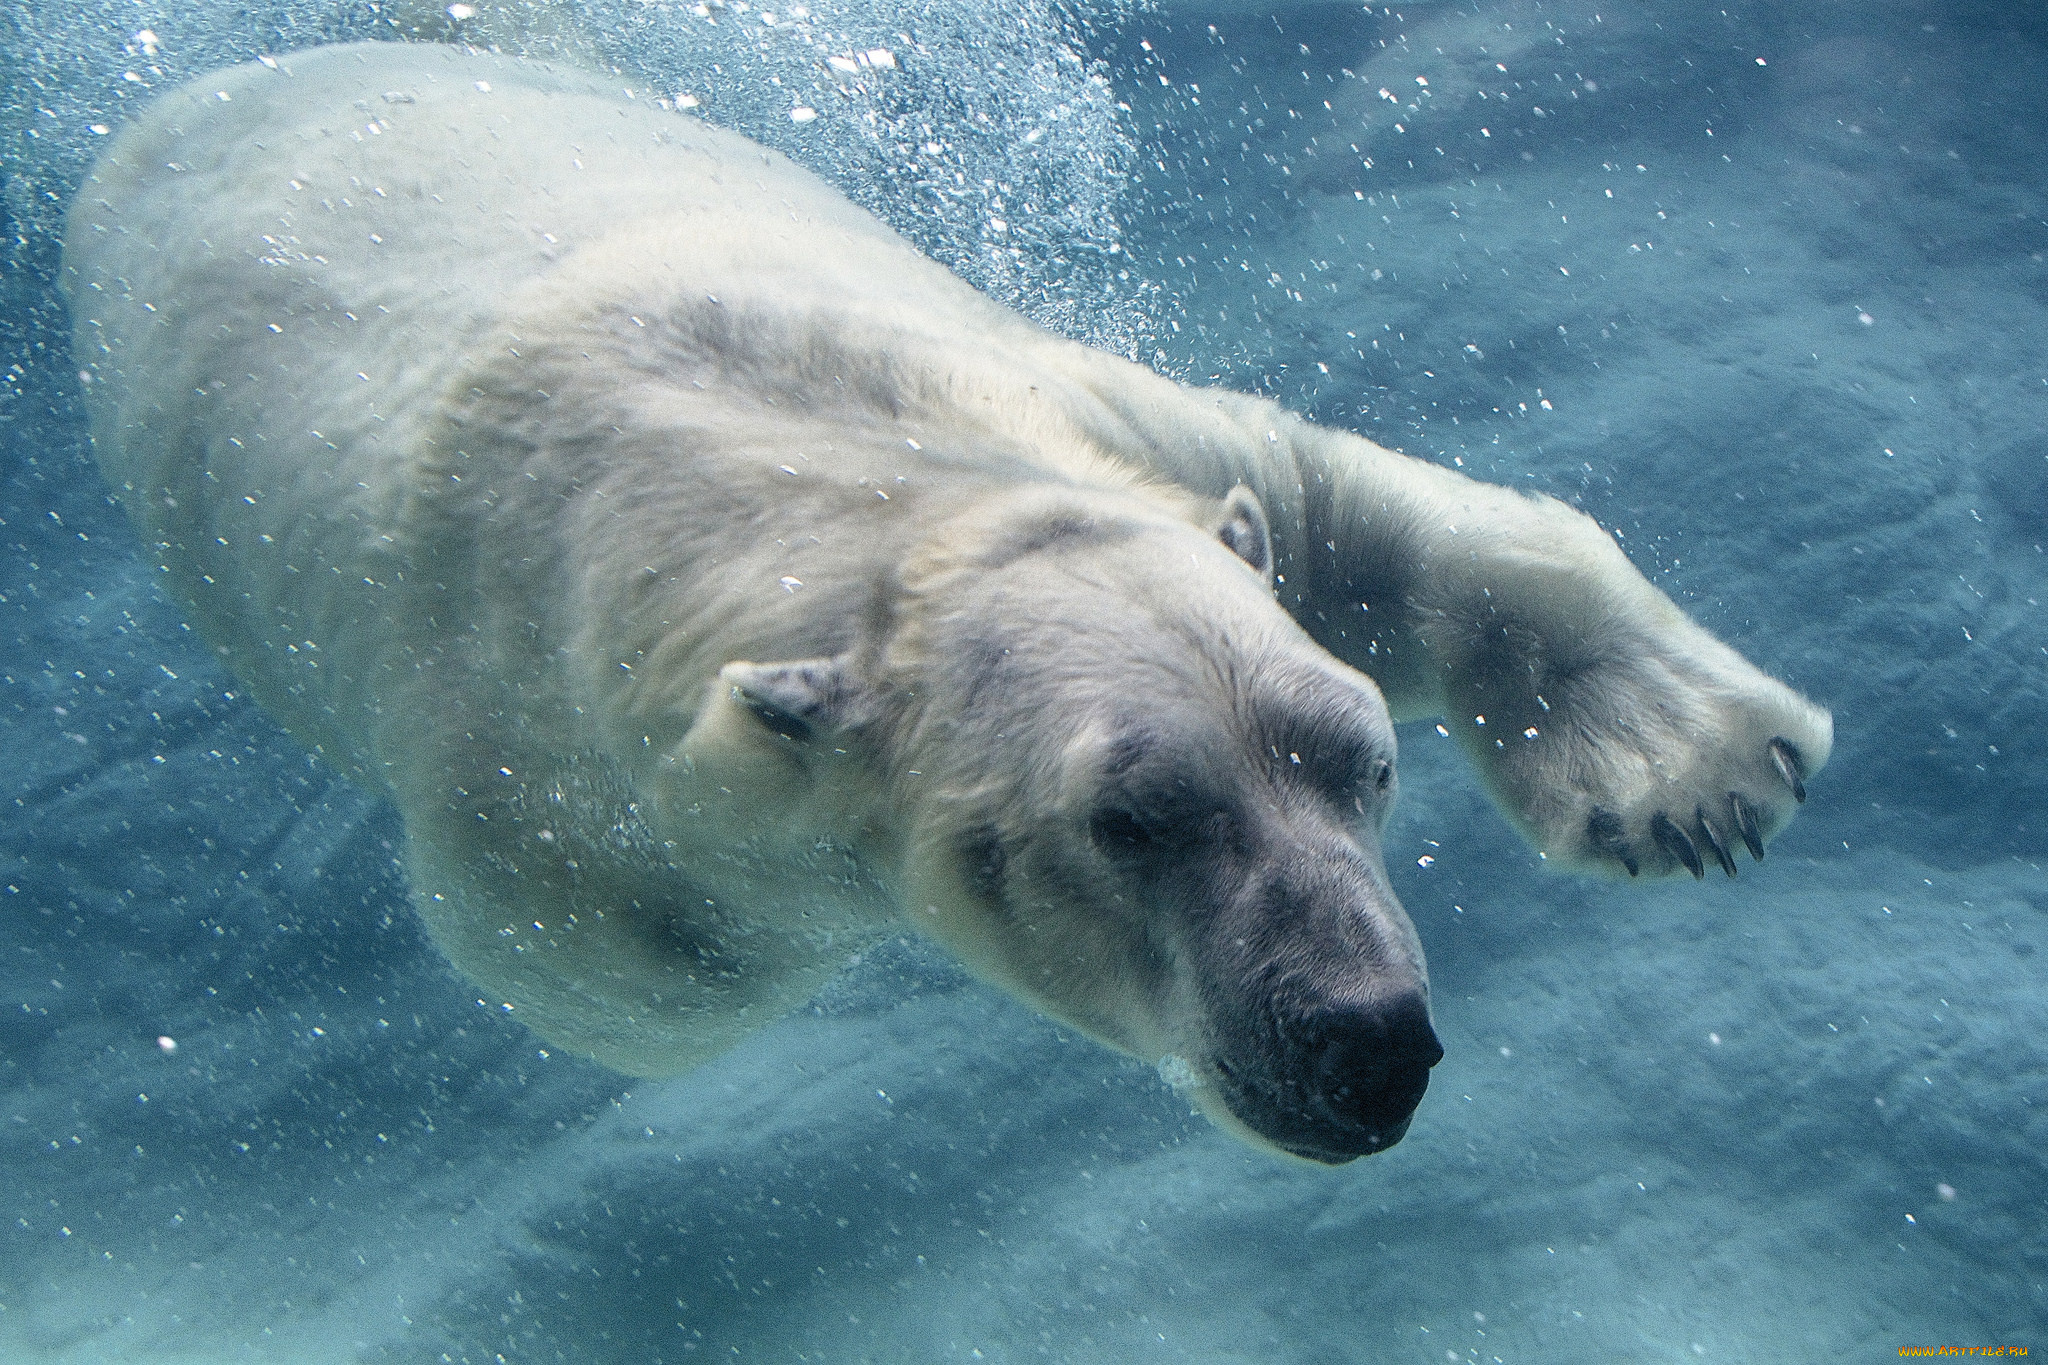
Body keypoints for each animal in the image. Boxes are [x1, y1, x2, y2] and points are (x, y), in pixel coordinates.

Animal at [64, 42, 1826, 1162]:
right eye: (1129, 822)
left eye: (1361, 762)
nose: (1367, 1034)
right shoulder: (543, 833)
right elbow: (645, 968)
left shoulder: (1103, 426)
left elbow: (1351, 505)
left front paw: (1688, 774)